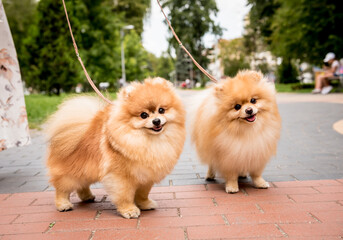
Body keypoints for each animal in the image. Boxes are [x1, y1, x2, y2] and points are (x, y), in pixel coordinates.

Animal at [46, 78, 187, 218]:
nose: (156, 121)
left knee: (82, 184)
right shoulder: (121, 177)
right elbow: (125, 195)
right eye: (143, 115)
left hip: (85, 168)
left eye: (161, 110)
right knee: (62, 188)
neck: (148, 141)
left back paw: (87, 197)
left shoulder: (146, 175)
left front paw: (145, 204)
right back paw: (63, 204)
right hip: (70, 172)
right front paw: (129, 210)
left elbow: (143, 193)